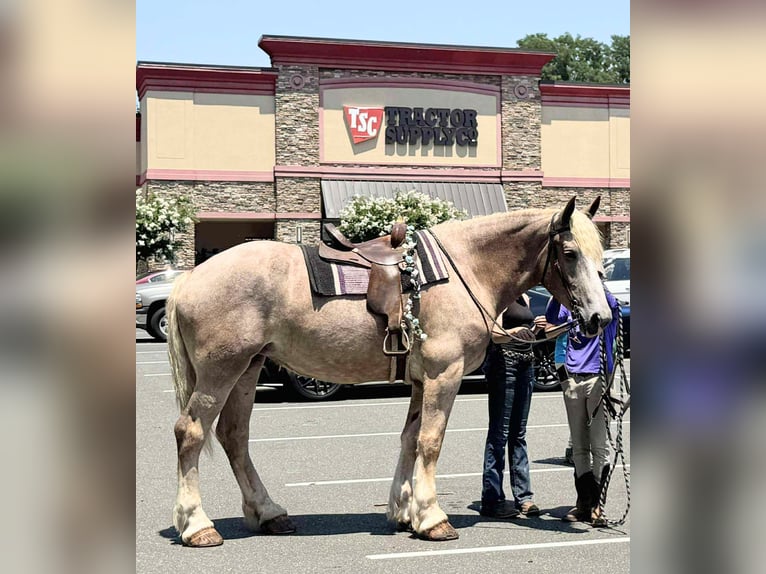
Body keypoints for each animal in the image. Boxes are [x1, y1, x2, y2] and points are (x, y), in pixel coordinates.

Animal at [167, 196, 611, 547]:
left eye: (600, 255)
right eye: (570, 253)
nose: (600, 317)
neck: (465, 269)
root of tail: (190, 278)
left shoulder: (420, 381)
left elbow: (410, 439)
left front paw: (403, 511)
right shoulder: (443, 375)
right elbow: (430, 442)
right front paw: (431, 518)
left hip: (248, 368)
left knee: (234, 437)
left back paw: (269, 512)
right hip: (221, 371)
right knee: (191, 432)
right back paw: (197, 525)